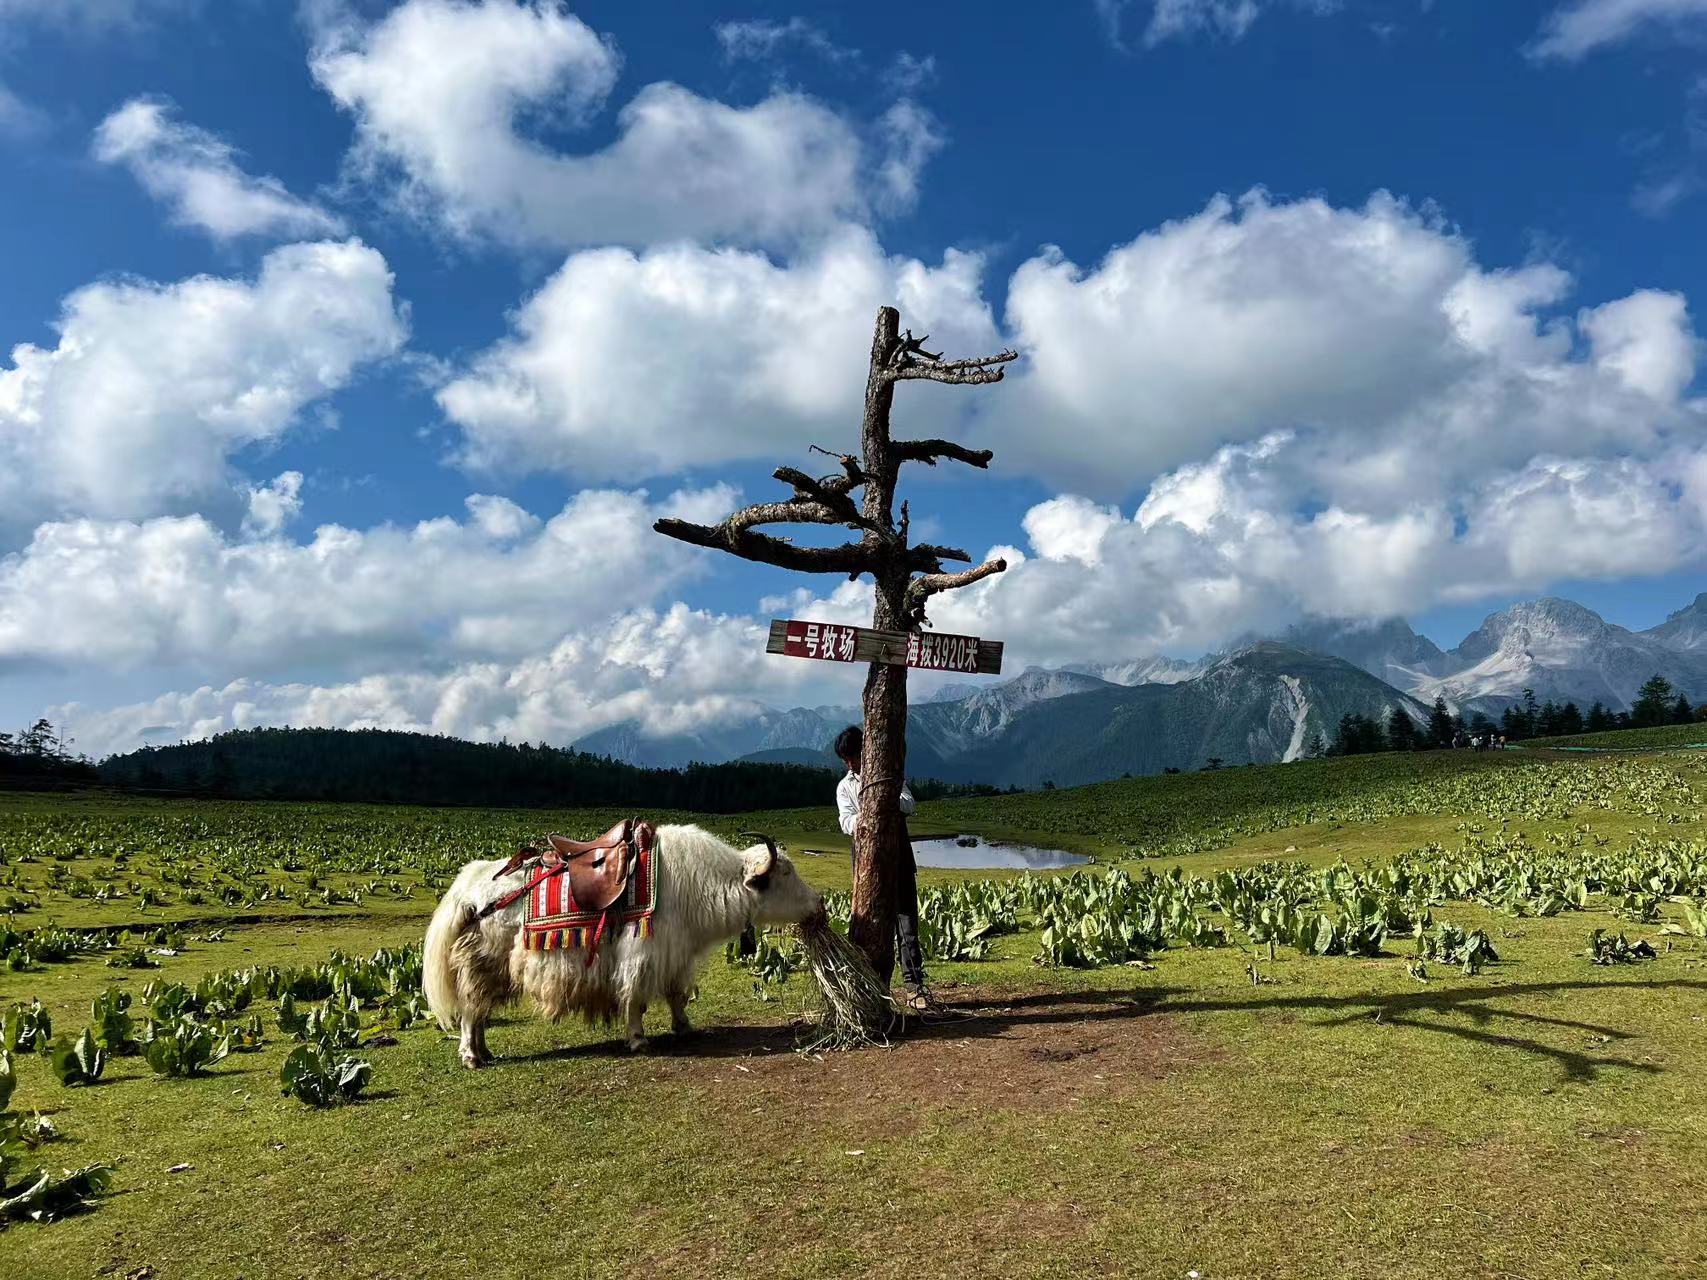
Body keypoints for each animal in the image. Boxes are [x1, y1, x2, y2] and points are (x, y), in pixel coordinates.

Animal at [422, 825, 822, 1067]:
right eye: (786, 874)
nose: (818, 903)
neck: (697, 885)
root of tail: (465, 887)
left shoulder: (675, 956)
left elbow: (676, 994)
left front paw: (684, 1026)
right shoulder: (642, 955)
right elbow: (636, 998)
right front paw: (638, 1040)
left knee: (478, 1014)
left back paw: (485, 1052)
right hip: (482, 966)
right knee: (470, 1011)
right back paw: (472, 1057)